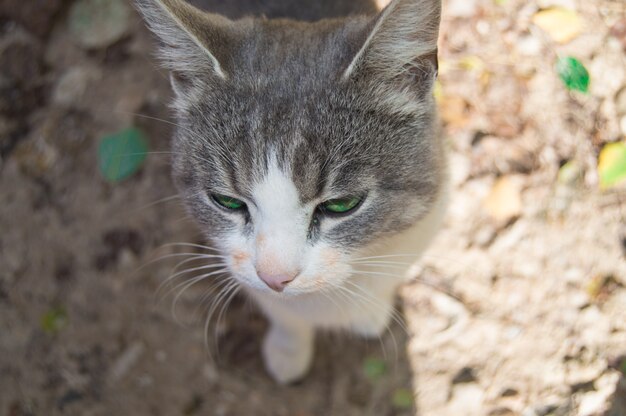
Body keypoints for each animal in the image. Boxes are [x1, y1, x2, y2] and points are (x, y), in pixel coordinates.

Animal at [136, 0, 444, 384]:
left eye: (342, 205)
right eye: (227, 201)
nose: (275, 277)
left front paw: (369, 313)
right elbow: (283, 315)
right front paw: (289, 350)